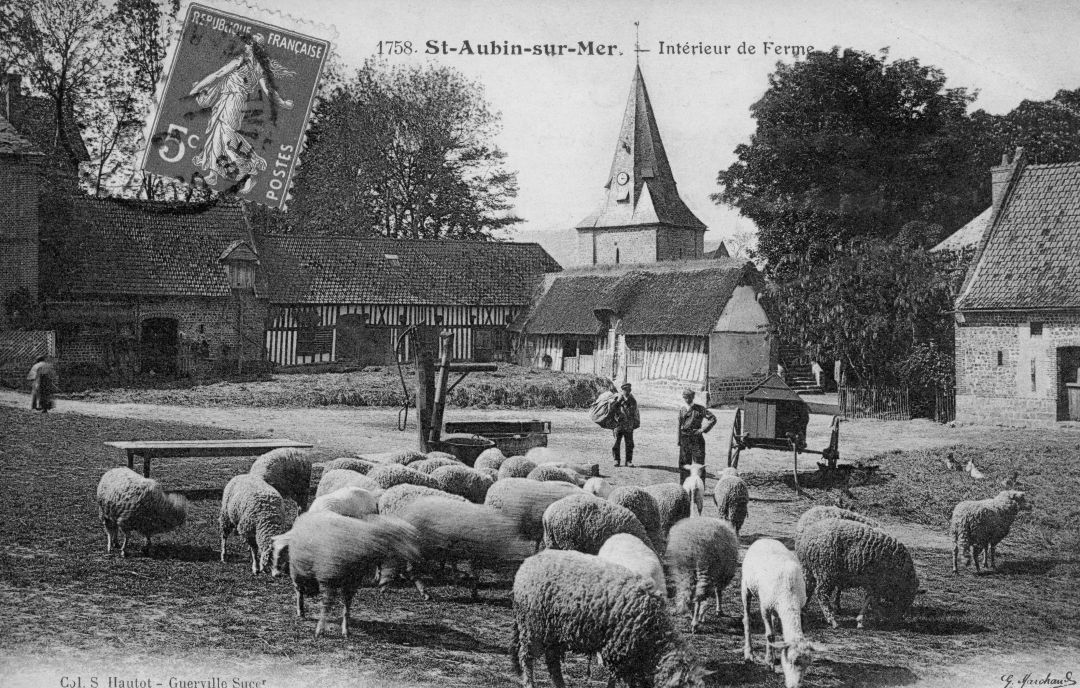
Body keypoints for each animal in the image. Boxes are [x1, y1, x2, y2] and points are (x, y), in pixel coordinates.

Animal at [270, 509, 421, 639]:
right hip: (298, 572)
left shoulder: (351, 585)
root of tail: (305, 515)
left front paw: (346, 630)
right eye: (399, 537)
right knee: (299, 592)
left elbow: (346, 609)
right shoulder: (329, 581)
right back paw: (300, 611)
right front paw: (320, 629)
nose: (417, 556)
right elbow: (326, 607)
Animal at [395, 494, 533, 600]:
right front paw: (473, 593)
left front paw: (470, 589)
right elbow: (474, 576)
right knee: (411, 571)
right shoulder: (475, 553)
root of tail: (405, 513)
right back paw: (424, 592)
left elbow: (472, 575)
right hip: (419, 548)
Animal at [511, 546, 708, 686]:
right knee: (526, 658)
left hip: (553, 632)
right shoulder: (620, 650)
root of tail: (528, 562)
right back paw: (529, 683)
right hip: (532, 626)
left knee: (552, 662)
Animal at [738, 535, 812, 686]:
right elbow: (770, 635)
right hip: (746, 587)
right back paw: (749, 654)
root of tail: (764, 539)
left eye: (807, 665)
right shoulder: (765, 607)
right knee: (747, 619)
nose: (795, 685)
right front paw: (769, 663)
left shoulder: (799, 607)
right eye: (790, 661)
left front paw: (773, 658)